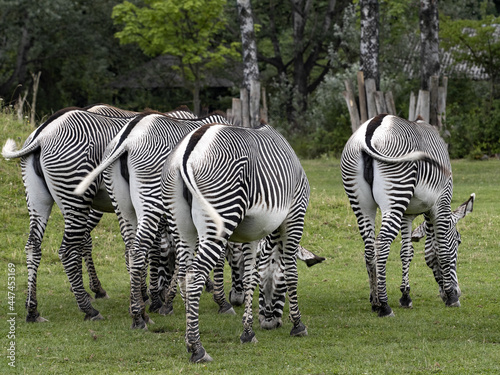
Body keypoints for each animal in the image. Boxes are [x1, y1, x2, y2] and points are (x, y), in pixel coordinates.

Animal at [1, 106, 139, 324]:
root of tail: (42, 133)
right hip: (79, 194)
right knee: (71, 248)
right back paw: (90, 307)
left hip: (38, 198)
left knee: (34, 246)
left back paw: (33, 310)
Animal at [73, 109, 233, 328]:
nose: (237, 298)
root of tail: (127, 138)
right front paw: (219, 300)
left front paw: (163, 295)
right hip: (144, 198)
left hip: (121, 204)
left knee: (126, 248)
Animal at [161, 121, 308, 364]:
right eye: (279, 287)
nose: (270, 324)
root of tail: (189, 149)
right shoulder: (295, 214)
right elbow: (291, 271)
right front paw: (298, 325)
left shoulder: (251, 235)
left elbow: (250, 277)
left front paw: (248, 332)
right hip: (220, 214)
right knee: (194, 276)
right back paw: (197, 348)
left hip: (181, 226)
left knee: (182, 275)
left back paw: (189, 338)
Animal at [340, 114, 472, 318]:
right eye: (458, 241)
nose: (459, 292)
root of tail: (369, 133)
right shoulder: (441, 202)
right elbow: (441, 250)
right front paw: (451, 297)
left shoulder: (407, 215)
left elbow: (407, 252)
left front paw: (405, 296)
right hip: (395, 194)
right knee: (382, 244)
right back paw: (384, 306)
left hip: (360, 202)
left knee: (369, 248)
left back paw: (375, 302)